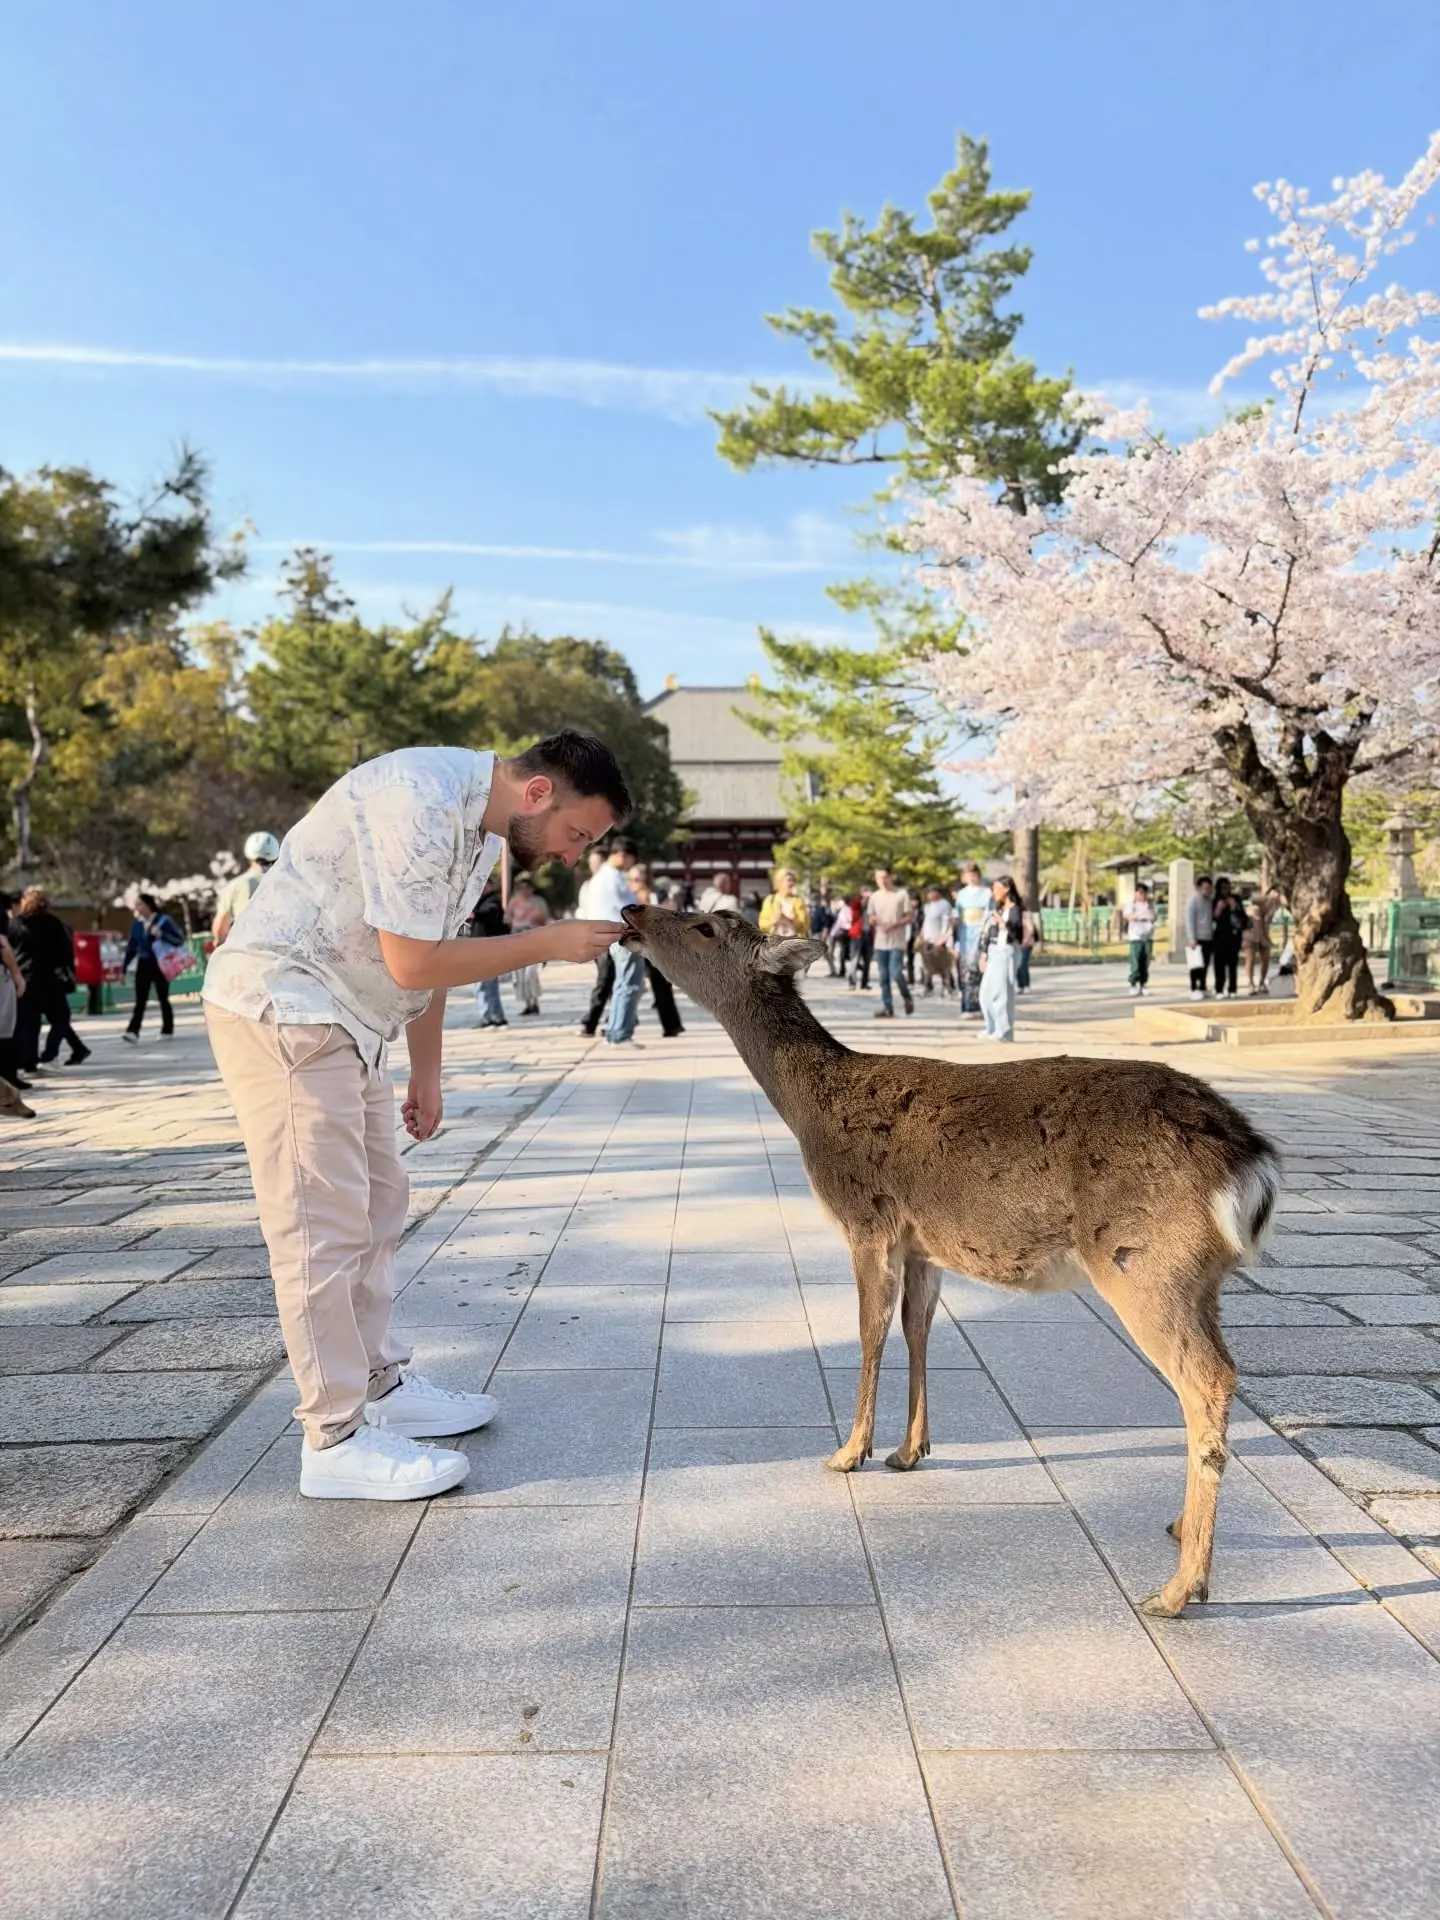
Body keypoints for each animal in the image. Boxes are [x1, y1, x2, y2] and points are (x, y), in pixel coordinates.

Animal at [619, 904, 1279, 1619]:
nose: (630, 912)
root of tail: (1250, 1164)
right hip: (1201, 1279)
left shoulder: (868, 1221)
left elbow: (869, 1329)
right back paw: (1182, 1527)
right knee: (1216, 1375)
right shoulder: (922, 1244)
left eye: (706, 926)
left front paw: (848, 1451)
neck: (813, 1115)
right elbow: (917, 1328)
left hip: (1144, 1262)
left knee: (1206, 1378)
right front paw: (908, 1451)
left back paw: (1180, 1588)